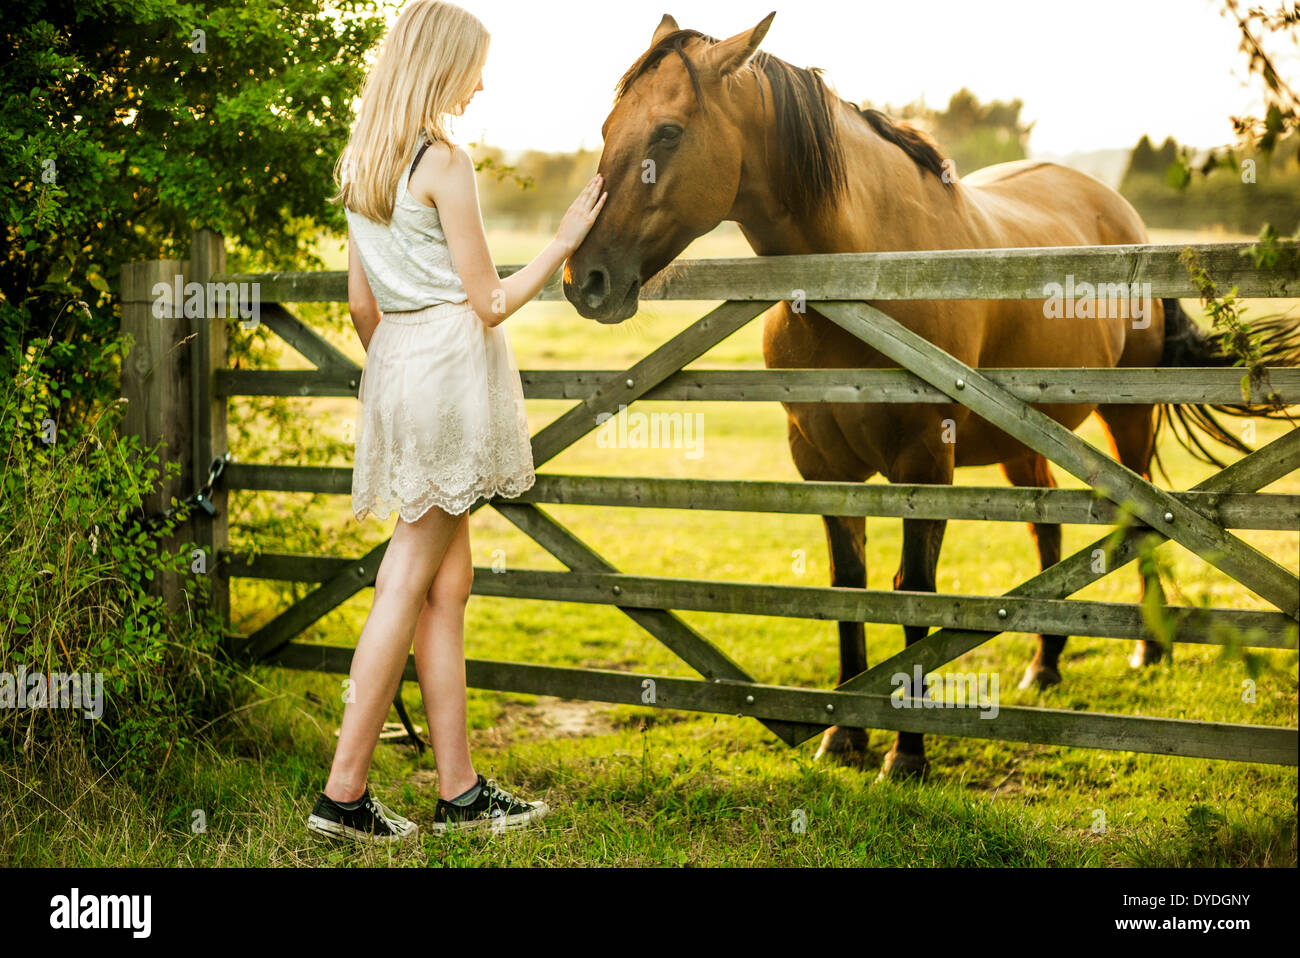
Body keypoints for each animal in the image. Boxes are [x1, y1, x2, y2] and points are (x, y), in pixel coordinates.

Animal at [561, 13, 1268, 779]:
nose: (583, 278)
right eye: (607, 126)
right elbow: (850, 587)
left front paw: (906, 751)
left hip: (1127, 419)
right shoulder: (822, 463)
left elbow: (915, 591)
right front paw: (844, 735)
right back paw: (1045, 664)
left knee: (1142, 520)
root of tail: (1123, 218)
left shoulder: (925, 462)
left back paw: (1148, 649)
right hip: (1023, 442)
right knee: (1045, 528)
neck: (863, 272)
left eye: (667, 132)